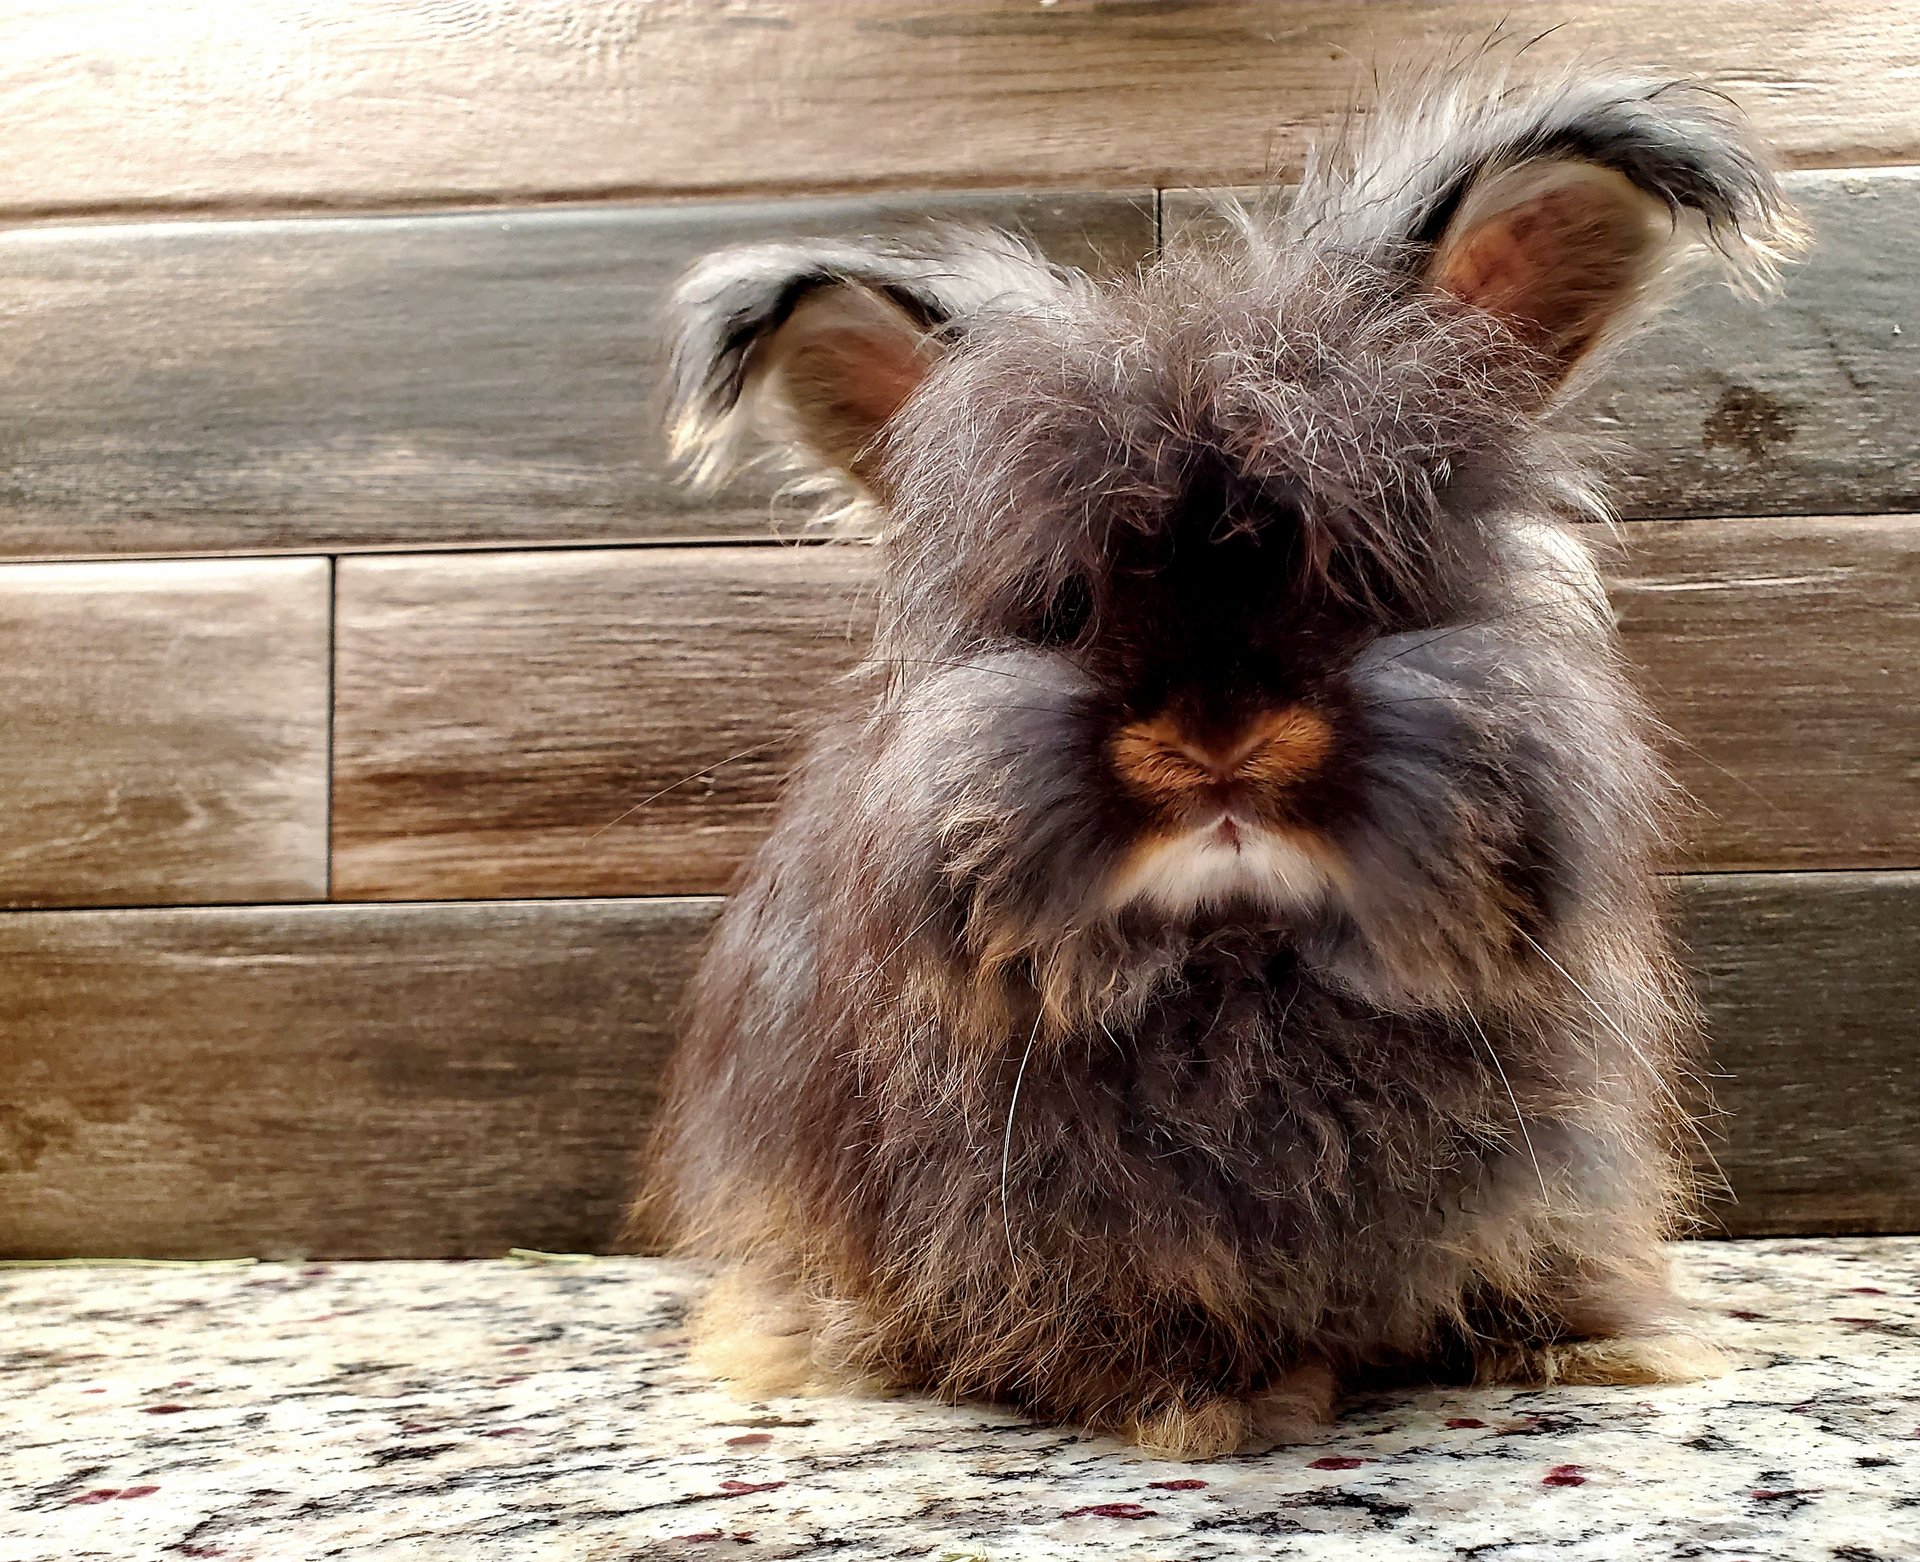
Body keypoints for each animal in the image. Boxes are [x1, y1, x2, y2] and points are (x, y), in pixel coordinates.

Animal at [638, 66, 1805, 1460]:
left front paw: (1609, 1343)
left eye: (1358, 583)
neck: (1244, 956)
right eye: (1064, 608)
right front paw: (1216, 1398)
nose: (1215, 745)